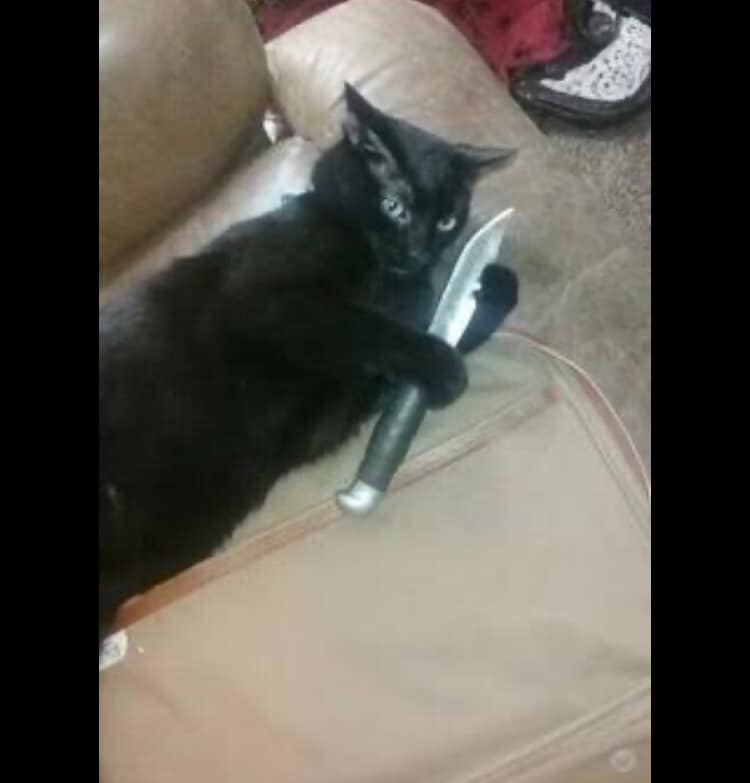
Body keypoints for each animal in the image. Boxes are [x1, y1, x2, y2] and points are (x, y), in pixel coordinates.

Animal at [99, 83, 519, 644]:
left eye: (447, 220)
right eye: (395, 206)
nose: (418, 253)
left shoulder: (331, 413)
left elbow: (419, 326)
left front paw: (487, 285)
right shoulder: (265, 300)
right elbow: (363, 326)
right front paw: (444, 364)